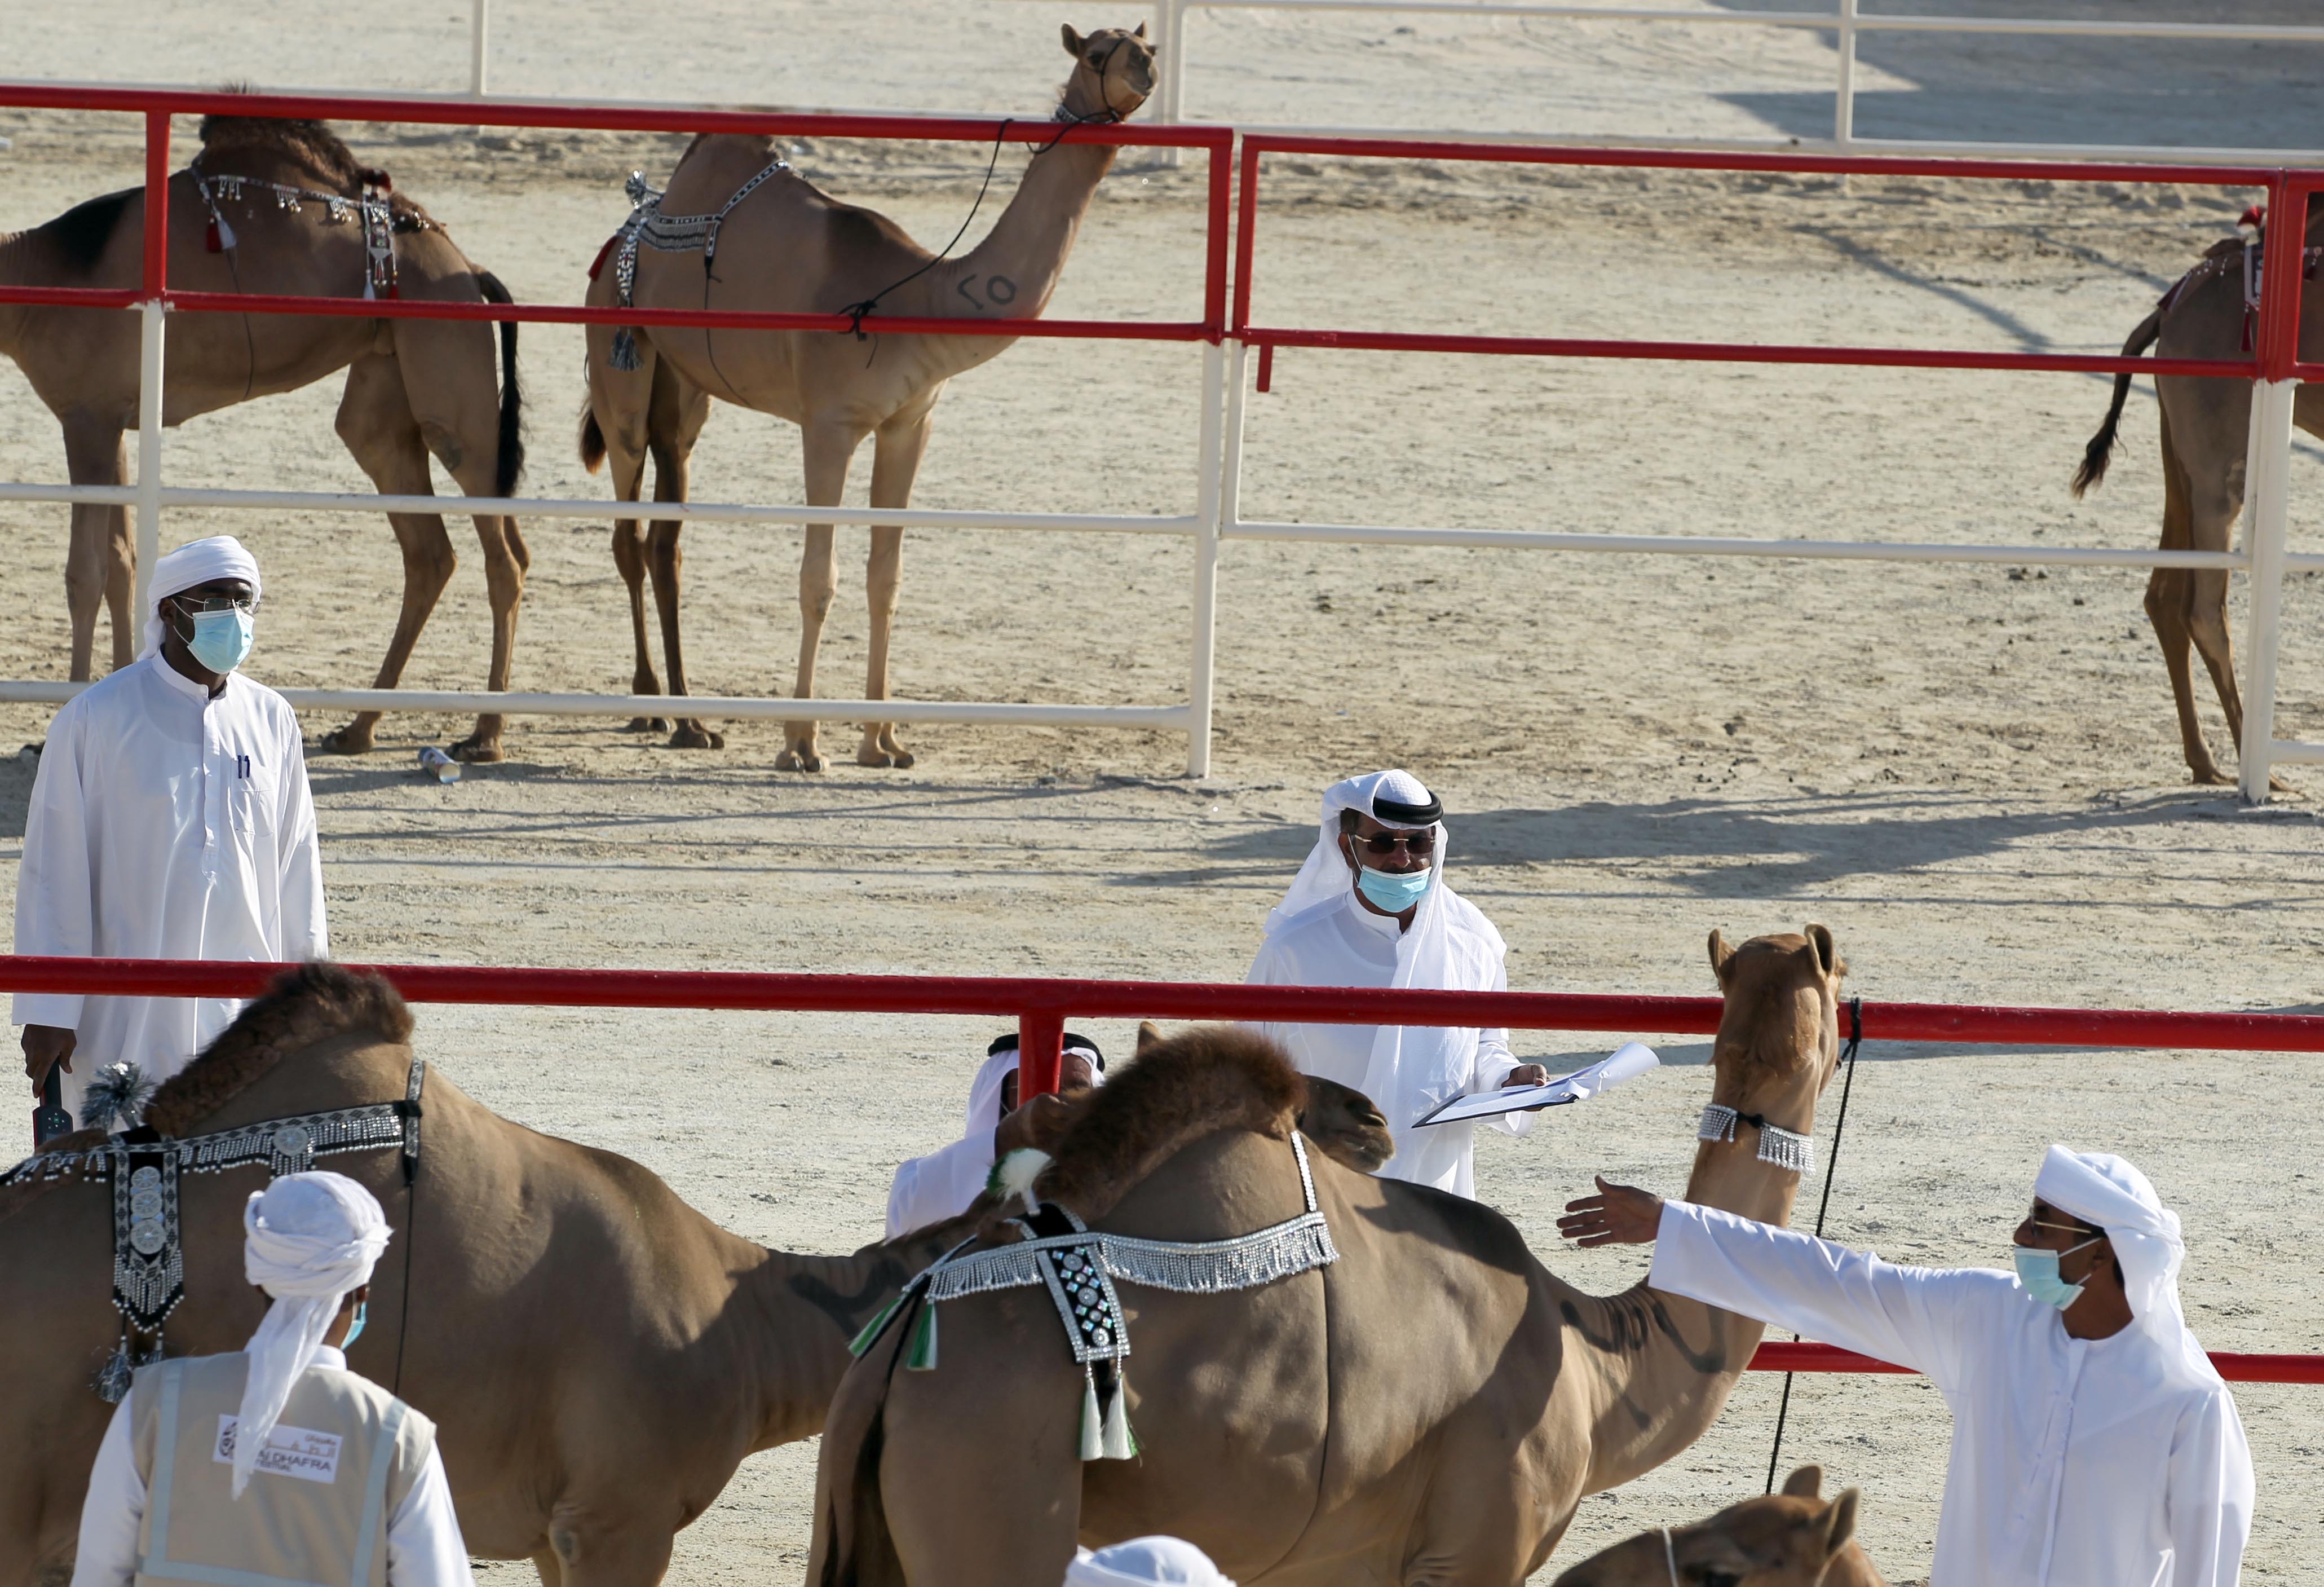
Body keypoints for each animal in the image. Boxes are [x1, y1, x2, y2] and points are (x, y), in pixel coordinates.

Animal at [0, 114, 532, 762]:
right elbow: (125, 562)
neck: (43, 277)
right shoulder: (116, 422)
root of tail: (471, 269)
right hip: (384, 386)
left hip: (452, 380)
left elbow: (86, 572)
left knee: (503, 554)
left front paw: (52, 727)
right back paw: (359, 727)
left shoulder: (85, 418)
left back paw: (485, 733)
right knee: (428, 549)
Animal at [578, 23, 1152, 771]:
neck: (920, 300)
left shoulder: (910, 422)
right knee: (627, 530)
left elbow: (887, 577)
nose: (1146, 69)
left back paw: (690, 720)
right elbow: (818, 579)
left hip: (684, 393)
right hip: (619, 363)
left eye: (1142, 43)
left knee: (664, 541)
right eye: (1095, 53)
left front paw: (883, 741)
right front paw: (801, 743)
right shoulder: (830, 423)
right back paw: (650, 703)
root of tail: (624, 233)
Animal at [2073, 195, 2324, 790]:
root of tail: (2170, 309)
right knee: (2204, 609)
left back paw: (2205, 760)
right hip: (2218, 456)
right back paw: (2259, 774)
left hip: (2180, 444)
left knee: (2164, 595)